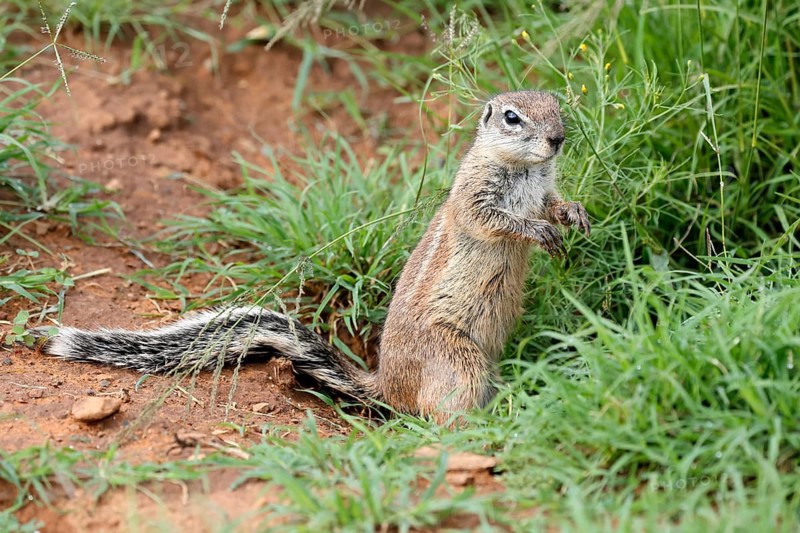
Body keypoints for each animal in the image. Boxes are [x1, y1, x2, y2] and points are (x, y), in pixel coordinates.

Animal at [39, 90, 590, 422]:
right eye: (512, 117)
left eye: (556, 104)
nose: (558, 138)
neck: (525, 171)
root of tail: (385, 385)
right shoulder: (476, 197)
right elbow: (494, 220)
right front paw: (538, 231)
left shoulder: (544, 188)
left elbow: (554, 202)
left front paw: (574, 215)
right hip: (458, 360)